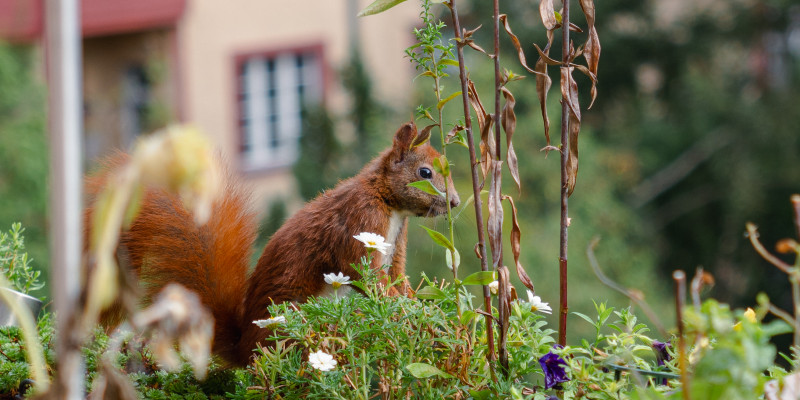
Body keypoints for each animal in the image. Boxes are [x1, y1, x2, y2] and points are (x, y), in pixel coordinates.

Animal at [84, 122, 460, 366]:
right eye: (425, 173)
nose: (455, 203)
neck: (387, 201)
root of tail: (242, 351)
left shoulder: (395, 246)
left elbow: (397, 279)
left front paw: (423, 307)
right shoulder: (361, 223)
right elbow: (369, 278)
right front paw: (413, 312)